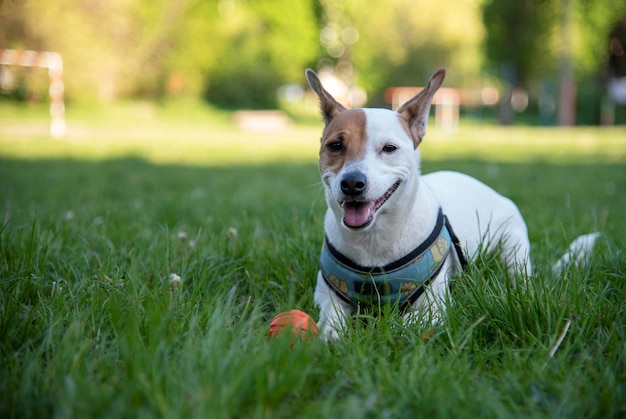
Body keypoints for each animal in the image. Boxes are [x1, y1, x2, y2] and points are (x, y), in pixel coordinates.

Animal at [304, 66, 596, 342]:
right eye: (335, 145)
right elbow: (330, 317)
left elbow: (403, 324)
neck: (374, 241)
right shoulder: (326, 294)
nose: (352, 183)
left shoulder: (432, 307)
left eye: (389, 148)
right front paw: (330, 336)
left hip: (514, 250)